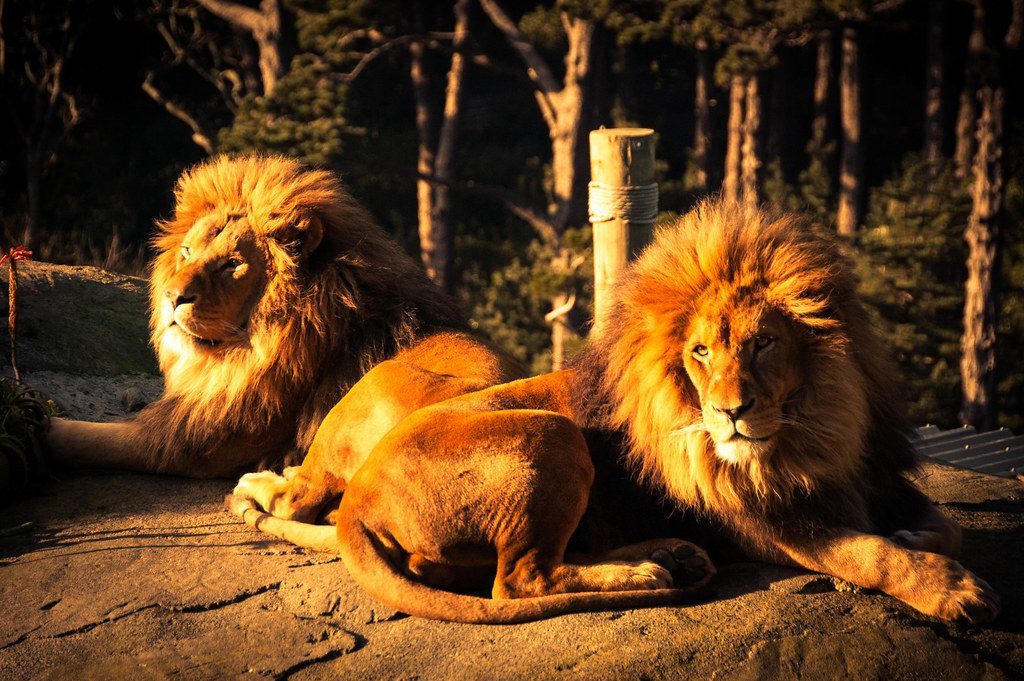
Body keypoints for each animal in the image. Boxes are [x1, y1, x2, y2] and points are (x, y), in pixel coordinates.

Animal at [44, 154, 519, 478]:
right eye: (187, 252)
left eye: (231, 265)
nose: (171, 297)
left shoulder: (194, 440)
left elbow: (94, 437)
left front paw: (44, 428)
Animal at [227, 199, 998, 624]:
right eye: (699, 352)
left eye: (764, 343)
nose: (731, 413)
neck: (818, 425)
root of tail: (359, 496)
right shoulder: (769, 523)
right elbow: (868, 551)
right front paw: (950, 589)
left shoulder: (873, 473)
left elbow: (947, 524)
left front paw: (924, 538)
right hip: (553, 434)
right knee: (519, 580)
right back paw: (651, 573)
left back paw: (671, 555)